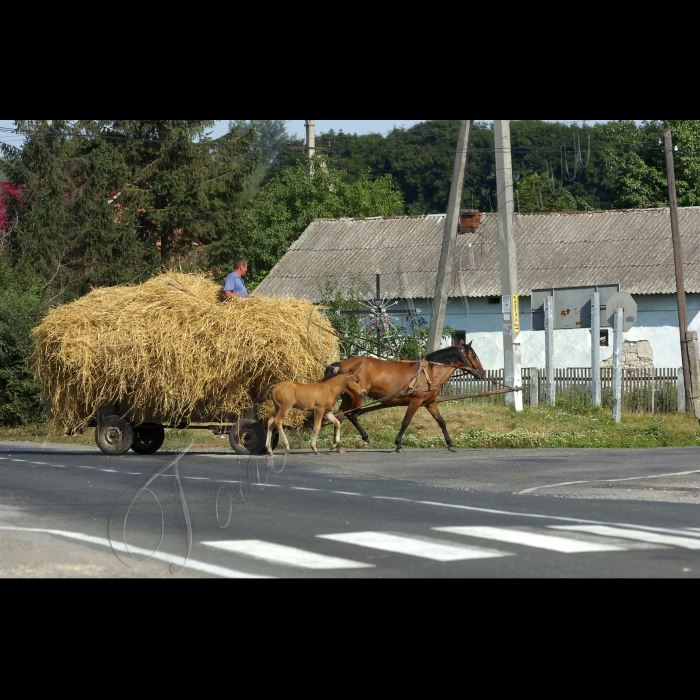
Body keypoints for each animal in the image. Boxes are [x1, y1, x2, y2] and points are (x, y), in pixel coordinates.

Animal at [324, 344, 484, 454]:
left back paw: (338, 445)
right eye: (474, 356)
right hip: (358, 396)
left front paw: (450, 444)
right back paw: (365, 439)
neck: (429, 373)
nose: (481, 373)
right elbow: (406, 422)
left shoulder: (430, 403)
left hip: (347, 398)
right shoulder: (415, 402)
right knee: (352, 415)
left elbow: (441, 422)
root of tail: (342, 365)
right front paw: (399, 444)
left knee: (339, 416)